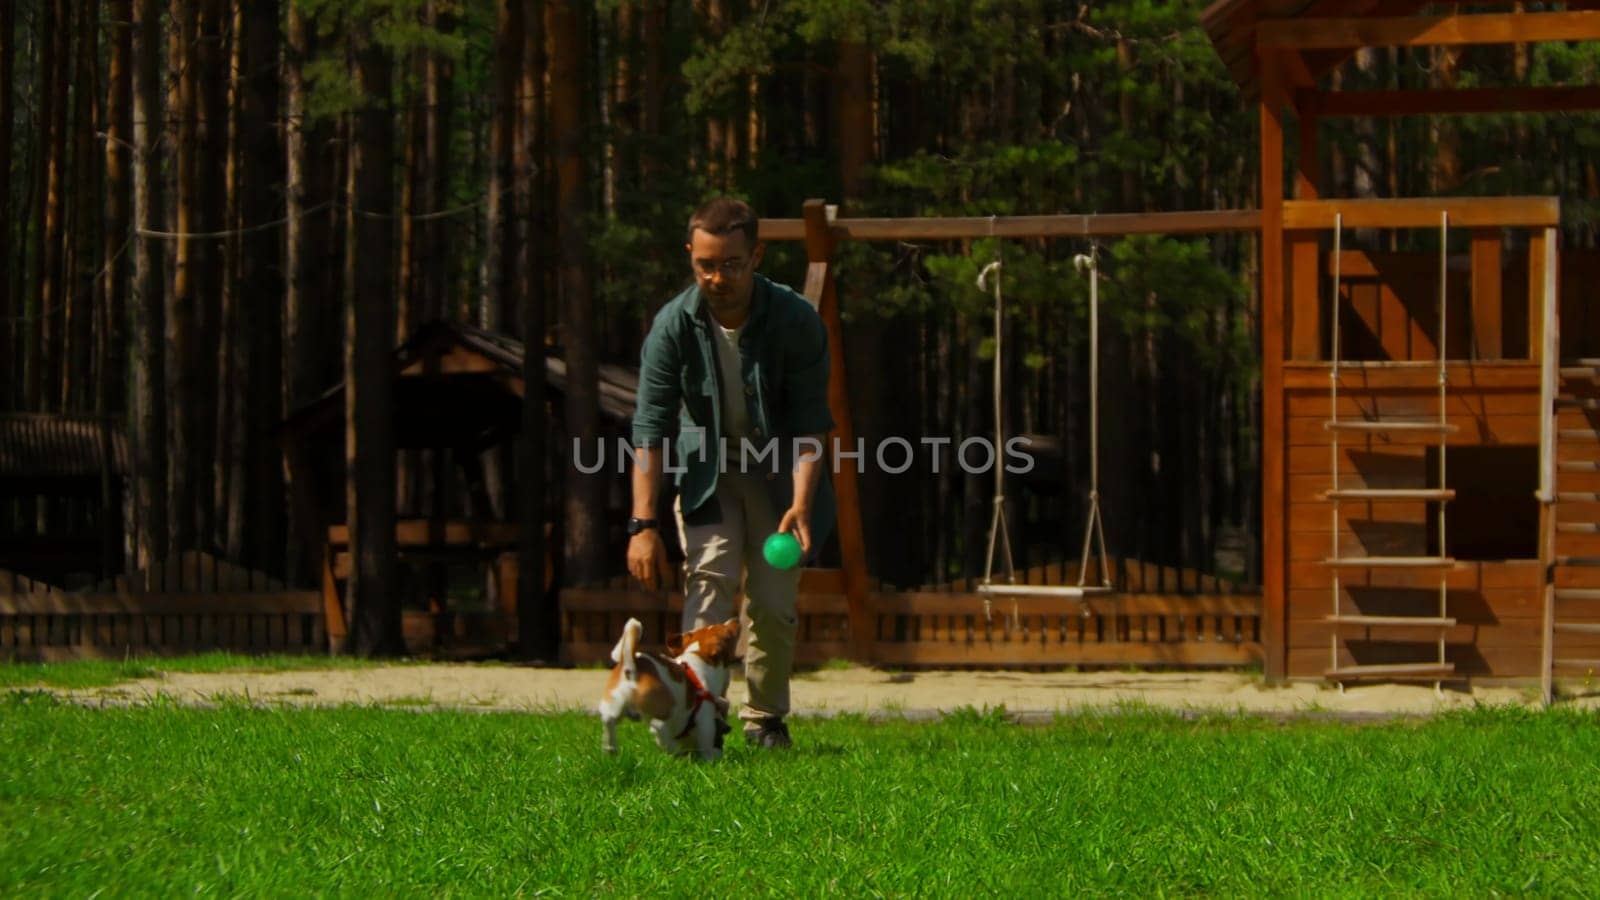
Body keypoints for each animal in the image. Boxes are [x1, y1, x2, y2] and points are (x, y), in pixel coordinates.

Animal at [598, 614, 739, 755]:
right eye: (728, 634)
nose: (735, 619)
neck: (697, 655)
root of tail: (631, 667)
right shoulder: (705, 720)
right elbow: (707, 744)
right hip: (664, 709)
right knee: (659, 726)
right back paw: (671, 747)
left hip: (615, 704)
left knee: (608, 719)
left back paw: (610, 747)